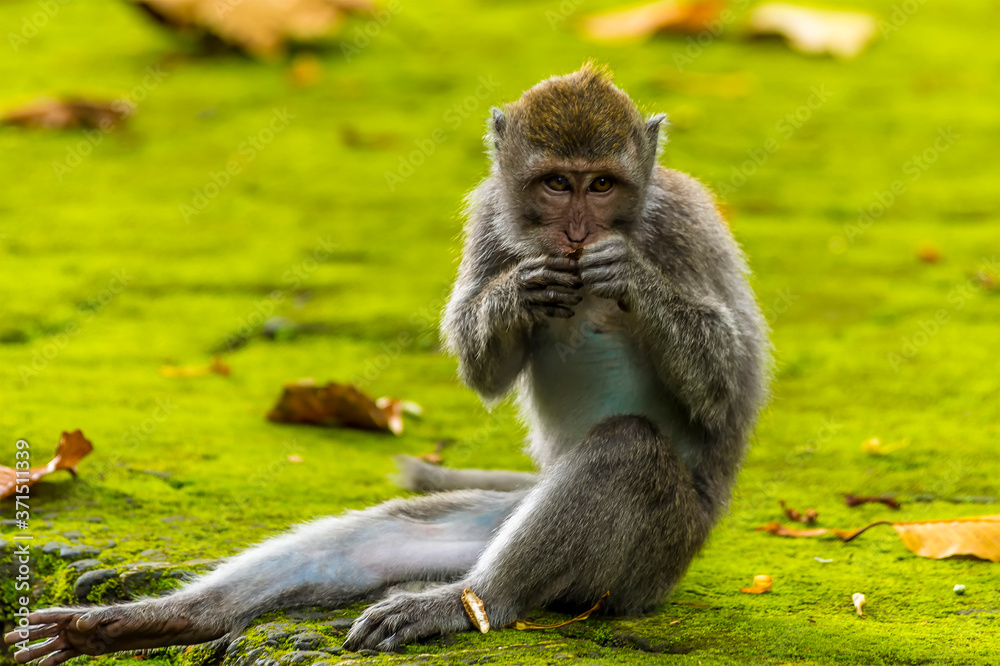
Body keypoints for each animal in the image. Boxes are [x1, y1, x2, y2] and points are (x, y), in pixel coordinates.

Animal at [5, 63, 764, 664]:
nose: (577, 232)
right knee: (376, 539)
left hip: (655, 556)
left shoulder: (685, 224)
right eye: (556, 184)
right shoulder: (488, 216)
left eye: (602, 185)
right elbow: (485, 371)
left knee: (628, 452)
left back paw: (469, 600)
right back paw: (158, 621)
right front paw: (518, 291)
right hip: (500, 518)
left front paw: (629, 274)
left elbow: (733, 388)